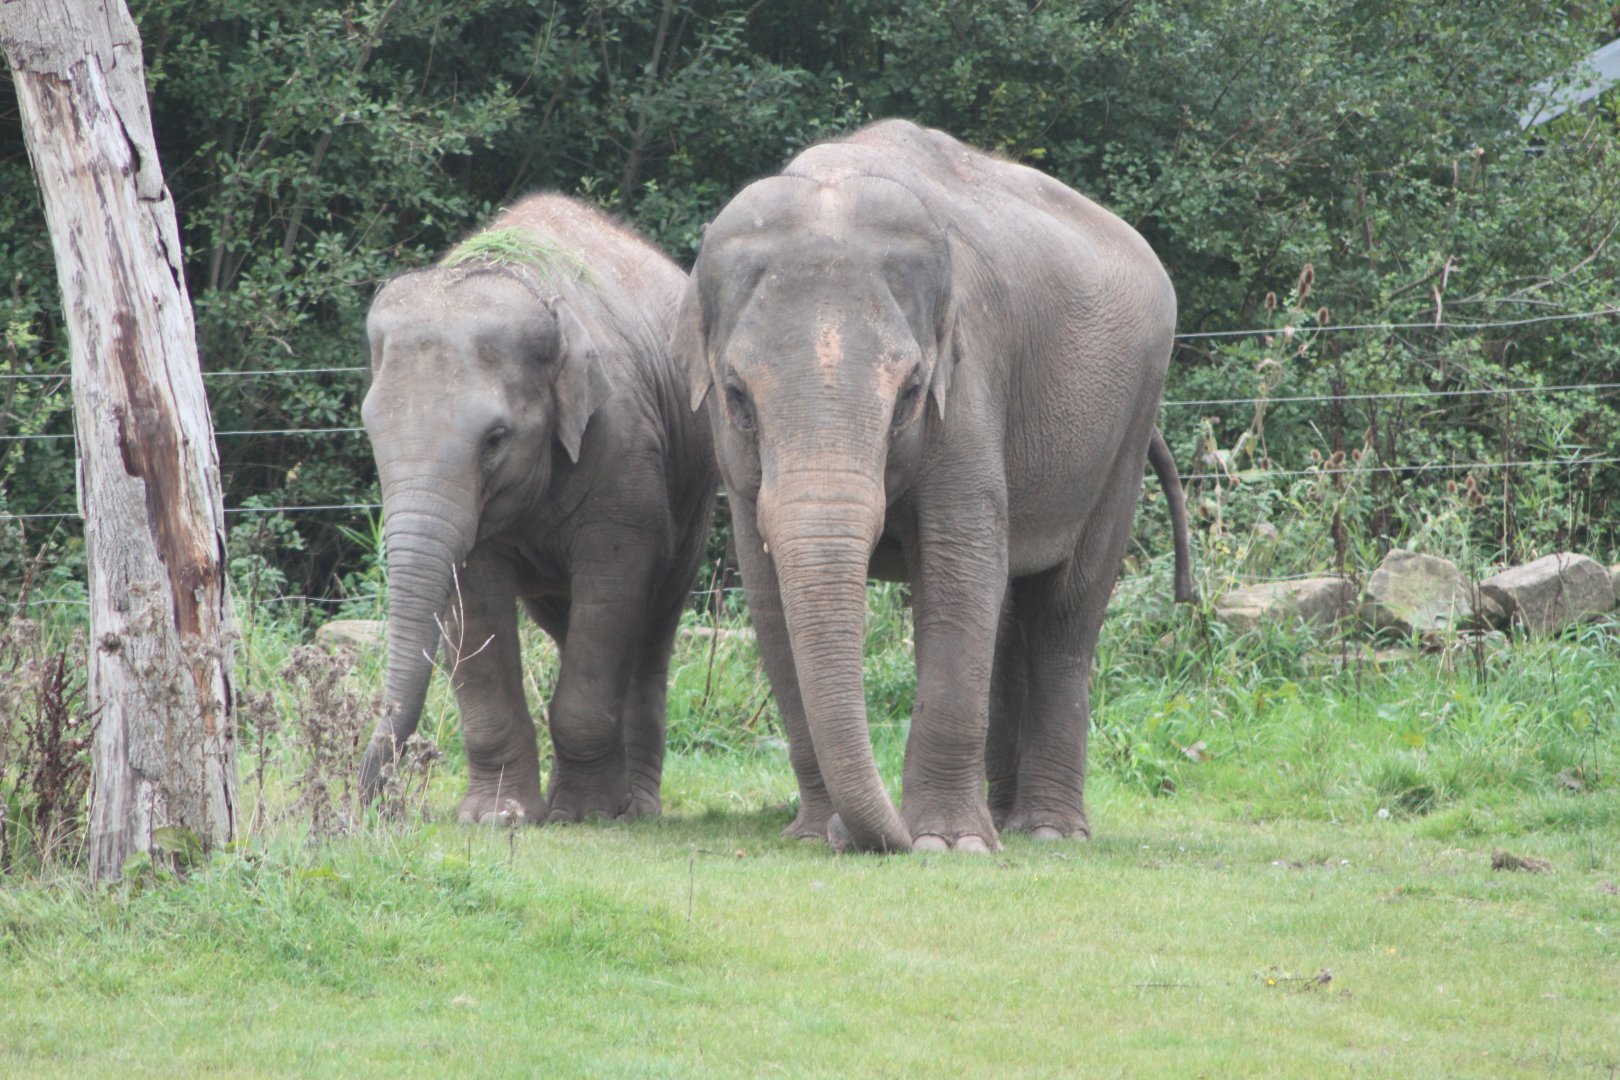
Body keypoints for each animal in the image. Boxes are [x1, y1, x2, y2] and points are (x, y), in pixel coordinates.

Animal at [358, 193, 717, 825]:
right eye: (370, 431)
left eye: (495, 439)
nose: (374, 804)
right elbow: (472, 606)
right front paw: (497, 817)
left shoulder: (625, 447)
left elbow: (615, 586)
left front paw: (584, 814)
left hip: (691, 501)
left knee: (651, 629)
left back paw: (634, 808)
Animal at [673, 119, 1178, 853]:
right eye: (737, 395)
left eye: (911, 392)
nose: (860, 836)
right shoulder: (737, 468)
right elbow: (769, 596)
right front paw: (814, 834)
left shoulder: (970, 387)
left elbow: (960, 567)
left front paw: (946, 844)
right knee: (1010, 611)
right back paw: (1004, 819)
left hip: (1130, 422)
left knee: (1066, 611)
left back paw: (1048, 832)